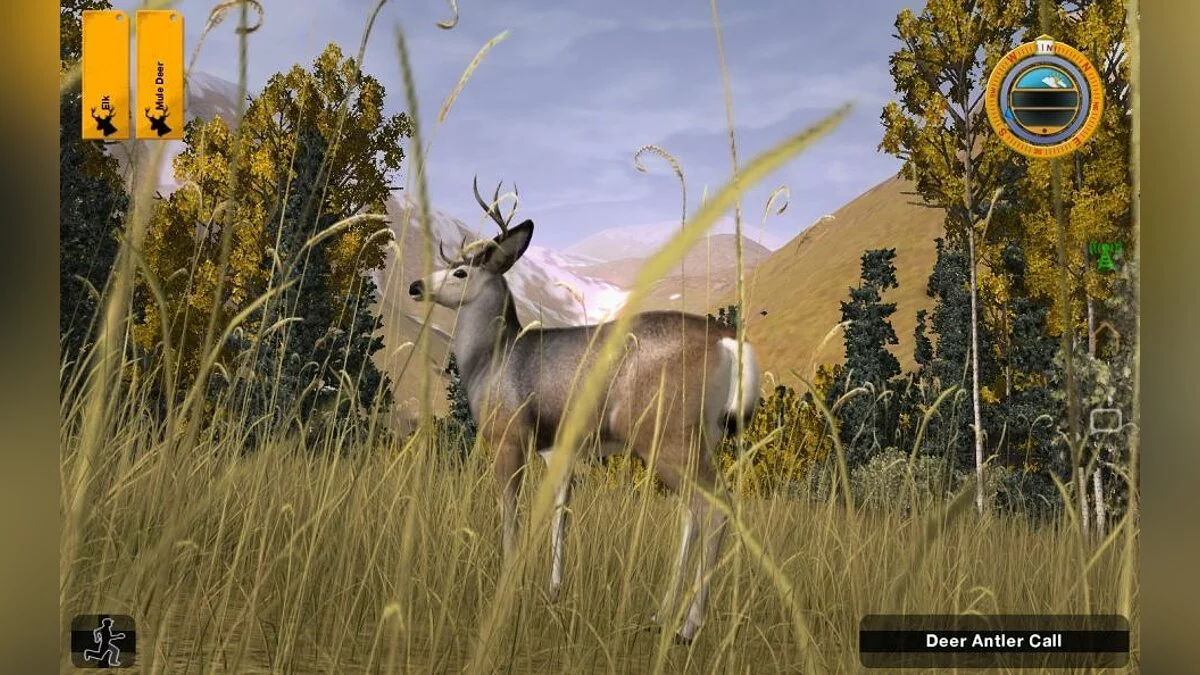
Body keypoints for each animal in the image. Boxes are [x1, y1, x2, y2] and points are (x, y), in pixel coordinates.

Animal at [407, 177, 761, 644]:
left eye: (460, 271)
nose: (415, 286)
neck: (494, 359)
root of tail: (730, 343)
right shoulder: (558, 449)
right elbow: (561, 512)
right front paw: (554, 590)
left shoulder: (509, 436)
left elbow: (511, 511)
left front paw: (510, 582)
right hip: (696, 439)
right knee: (693, 512)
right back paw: (661, 614)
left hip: (668, 434)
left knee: (716, 507)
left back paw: (688, 628)